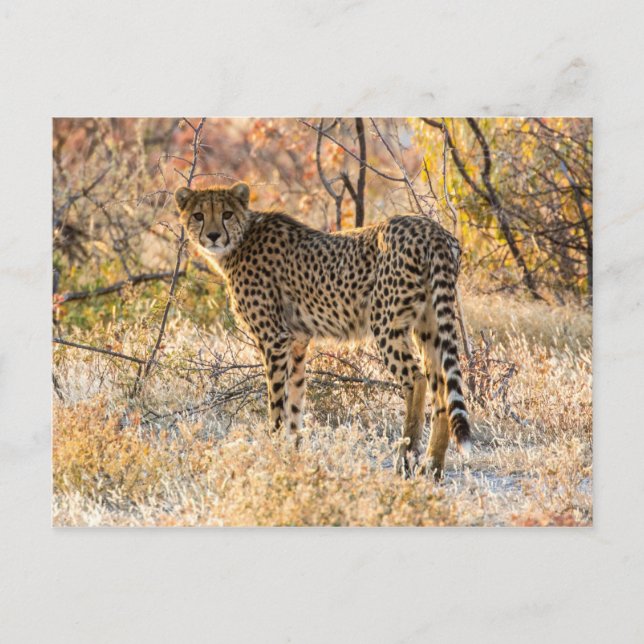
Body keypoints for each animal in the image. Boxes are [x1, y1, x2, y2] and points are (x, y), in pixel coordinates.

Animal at [174, 181, 472, 478]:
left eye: (226, 214)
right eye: (199, 215)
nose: (213, 236)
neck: (241, 238)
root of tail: (431, 228)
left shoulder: (273, 339)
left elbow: (277, 403)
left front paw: (273, 451)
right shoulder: (296, 341)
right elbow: (295, 400)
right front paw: (293, 455)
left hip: (386, 323)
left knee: (416, 379)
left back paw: (406, 459)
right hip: (428, 325)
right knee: (441, 388)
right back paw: (433, 467)